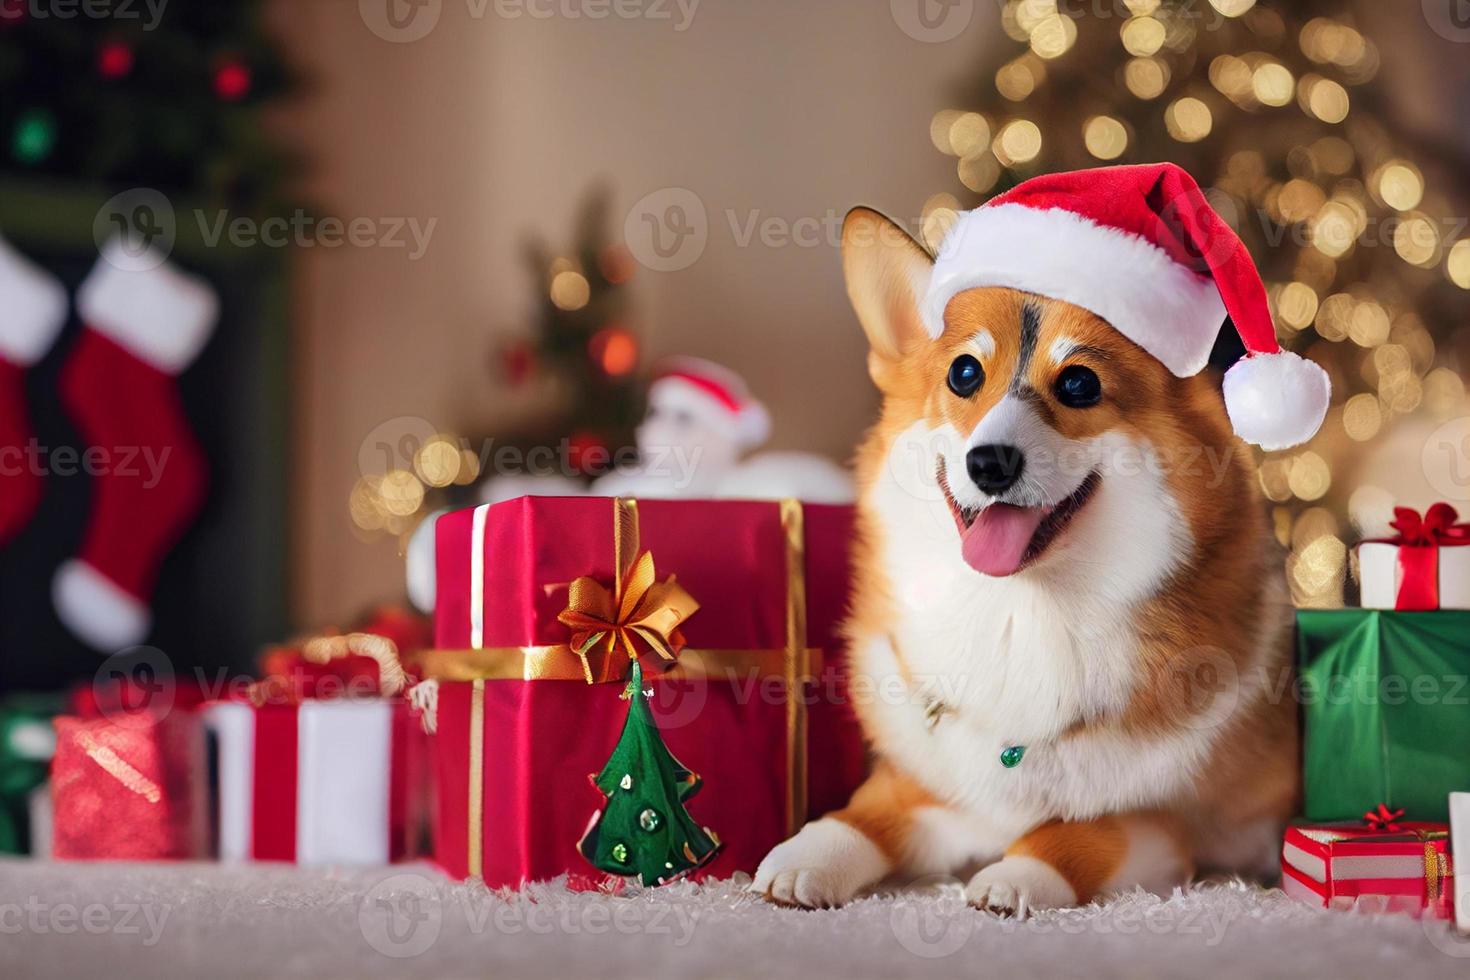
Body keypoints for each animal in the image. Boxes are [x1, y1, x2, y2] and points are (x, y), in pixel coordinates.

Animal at [752, 166, 1328, 910]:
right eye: (964, 374)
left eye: (1079, 383)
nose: (990, 463)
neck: (1016, 615)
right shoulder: (923, 785)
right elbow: (860, 812)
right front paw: (804, 856)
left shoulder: (1162, 827)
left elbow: (1074, 832)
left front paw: (1013, 877)